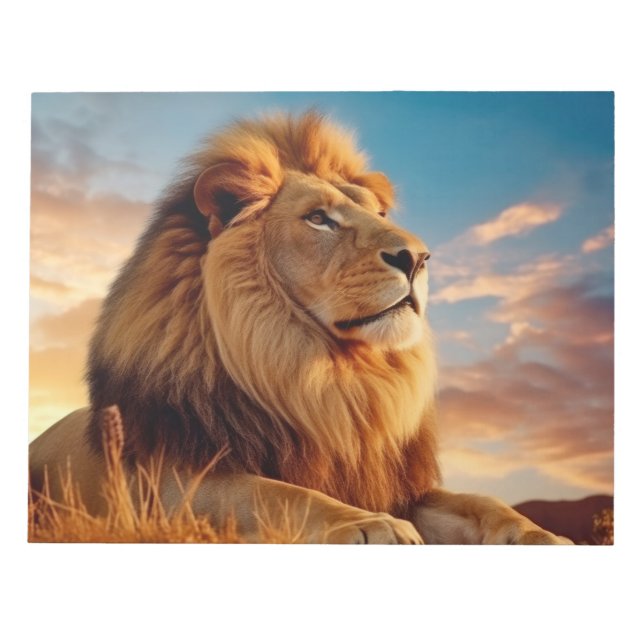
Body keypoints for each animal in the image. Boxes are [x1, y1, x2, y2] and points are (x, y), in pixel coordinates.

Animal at [29, 111, 571, 544]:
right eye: (319, 219)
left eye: (378, 212)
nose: (418, 258)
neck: (328, 380)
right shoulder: (169, 483)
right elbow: (279, 493)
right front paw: (373, 526)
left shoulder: (392, 482)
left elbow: (480, 503)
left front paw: (541, 535)